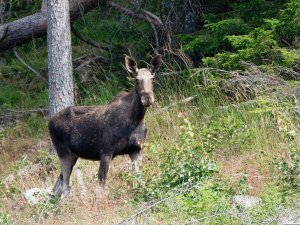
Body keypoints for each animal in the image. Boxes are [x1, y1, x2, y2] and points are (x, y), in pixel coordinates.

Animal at [48, 53, 162, 196]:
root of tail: (49, 122)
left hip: (73, 155)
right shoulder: (106, 151)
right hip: (64, 152)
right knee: (65, 187)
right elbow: (101, 184)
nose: (147, 99)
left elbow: (139, 178)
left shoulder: (136, 150)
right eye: (136, 79)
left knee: (58, 186)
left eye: (153, 78)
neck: (135, 120)